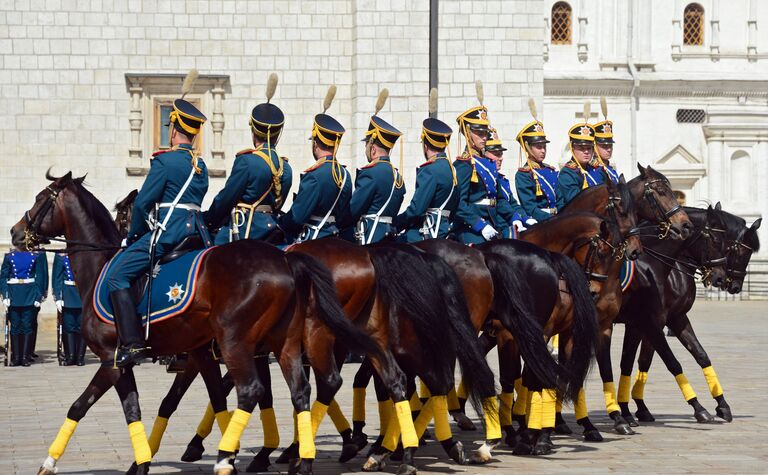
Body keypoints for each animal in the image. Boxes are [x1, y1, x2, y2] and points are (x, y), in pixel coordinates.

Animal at [18, 174, 384, 475]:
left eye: (39, 198)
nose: (16, 233)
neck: (102, 267)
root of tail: (286, 258)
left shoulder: (114, 359)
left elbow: (90, 405)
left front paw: (52, 462)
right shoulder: (199, 354)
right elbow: (200, 399)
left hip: (251, 343)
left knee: (264, 389)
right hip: (290, 343)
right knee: (310, 388)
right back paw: (312, 455)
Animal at [616, 206, 760, 426]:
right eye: (741, 252)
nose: (733, 286)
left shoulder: (675, 318)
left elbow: (700, 355)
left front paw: (722, 405)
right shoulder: (652, 322)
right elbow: (653, 361)